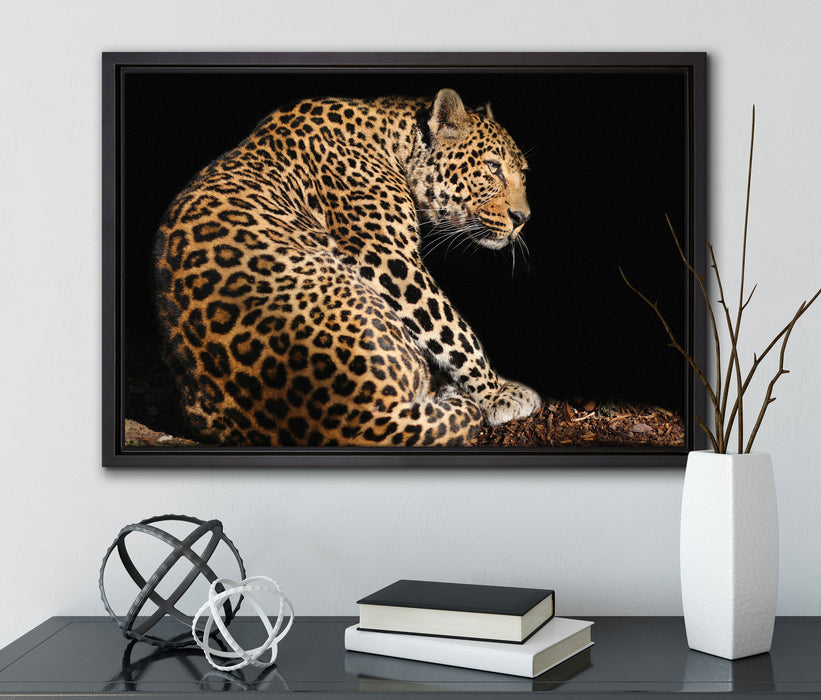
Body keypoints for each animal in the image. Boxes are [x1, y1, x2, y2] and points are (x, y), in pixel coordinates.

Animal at [153, 88, 541, 447]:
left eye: (523, 173)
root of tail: (350, 419)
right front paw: (498, 394)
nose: (522, 219)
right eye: (492, 167)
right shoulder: (387, 257)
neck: (393, 140)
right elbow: (451, 328)